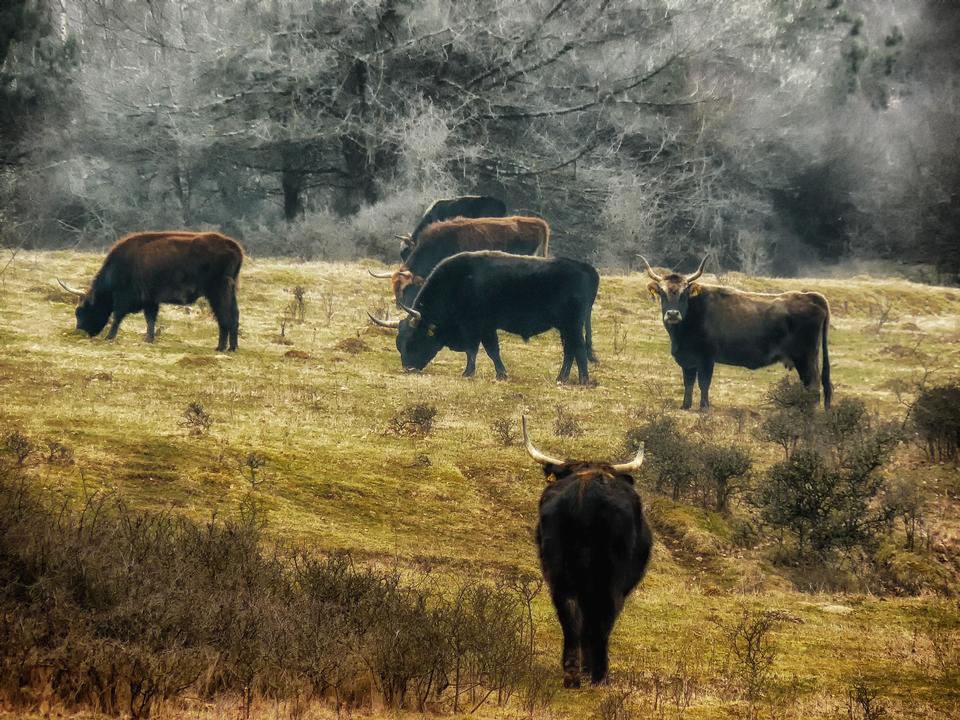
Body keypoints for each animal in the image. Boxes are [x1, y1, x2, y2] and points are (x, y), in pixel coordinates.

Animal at [366, 250, 592, 382]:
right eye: (399, 343)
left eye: (414, 340)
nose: (408, 368)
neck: (456, 284)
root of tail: (587, 269)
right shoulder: (486, 328)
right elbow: (490, 351)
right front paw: (500, 374)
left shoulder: (475, 327)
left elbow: (477, 350)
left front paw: (471, 373)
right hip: (565, 328)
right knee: (570, 351)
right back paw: (562, 378)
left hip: (572, 325)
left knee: (578, 349)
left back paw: (582, 380)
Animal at [524, 416, 652, 688]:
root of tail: (585, 492)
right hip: (609, 578)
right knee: (601, 618)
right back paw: (599, 675)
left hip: (560, 573)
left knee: (570, 614)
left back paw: (572, 673)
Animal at [640, 256, 836, 408]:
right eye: (662, 293)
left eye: (684, 293)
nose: (673, 314)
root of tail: (811, 296)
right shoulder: (688, 361)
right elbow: (688, 384)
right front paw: (685, 406)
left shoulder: (707, 358)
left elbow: (704, 383)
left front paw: (704, 407)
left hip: (805, 358)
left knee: (813, 386)